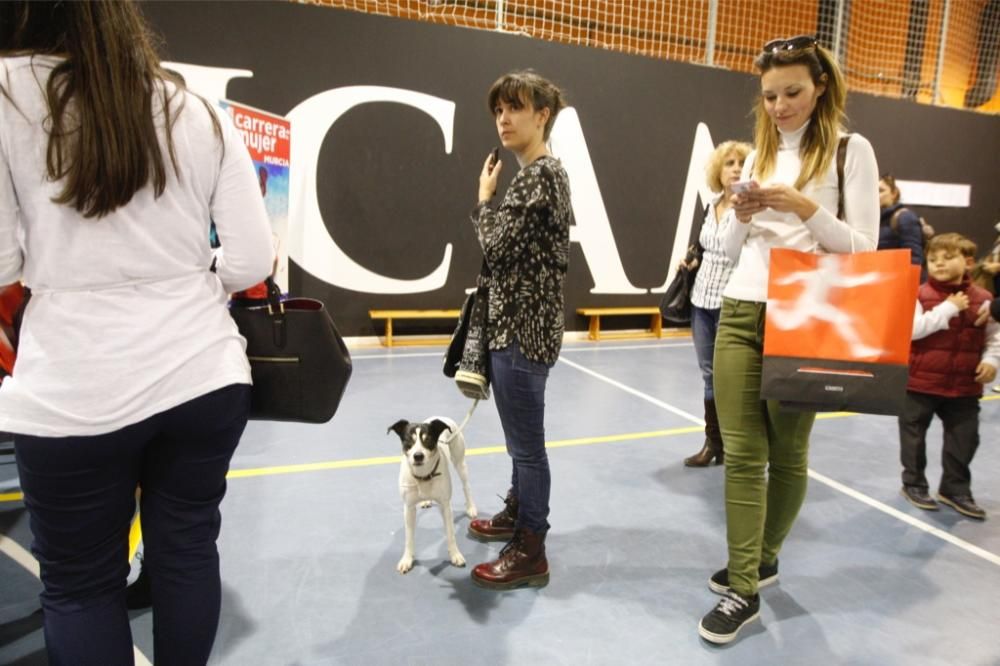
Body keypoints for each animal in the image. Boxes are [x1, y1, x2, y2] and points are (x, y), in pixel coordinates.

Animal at [386, 416, 476, 572]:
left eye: (427, 439)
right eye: (408, 440)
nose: (418, 456)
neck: (423, 476)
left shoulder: (445, 505)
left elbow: (450, 533)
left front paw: (455, 555)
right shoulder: (408, 508)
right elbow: (409, 537)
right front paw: (407, 559)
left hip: (460, 462)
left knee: (466, 486)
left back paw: (470, 507)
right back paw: (425, 501)